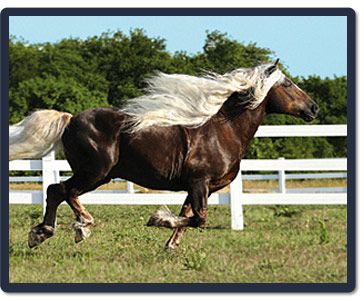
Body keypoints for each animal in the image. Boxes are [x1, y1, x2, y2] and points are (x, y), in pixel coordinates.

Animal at [9, 59, 318, 250]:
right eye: (288, 84)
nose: (314, 108)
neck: (223, 130)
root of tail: (70, 119)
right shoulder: (200, 182)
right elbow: (199, 218)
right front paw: (158, 219)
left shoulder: (196, 186)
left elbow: (188, 213)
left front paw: (171, 245)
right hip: (96, 172)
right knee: (61, 190)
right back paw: (78, 227)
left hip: (95, 174)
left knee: (57, 191)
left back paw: (43, 233)